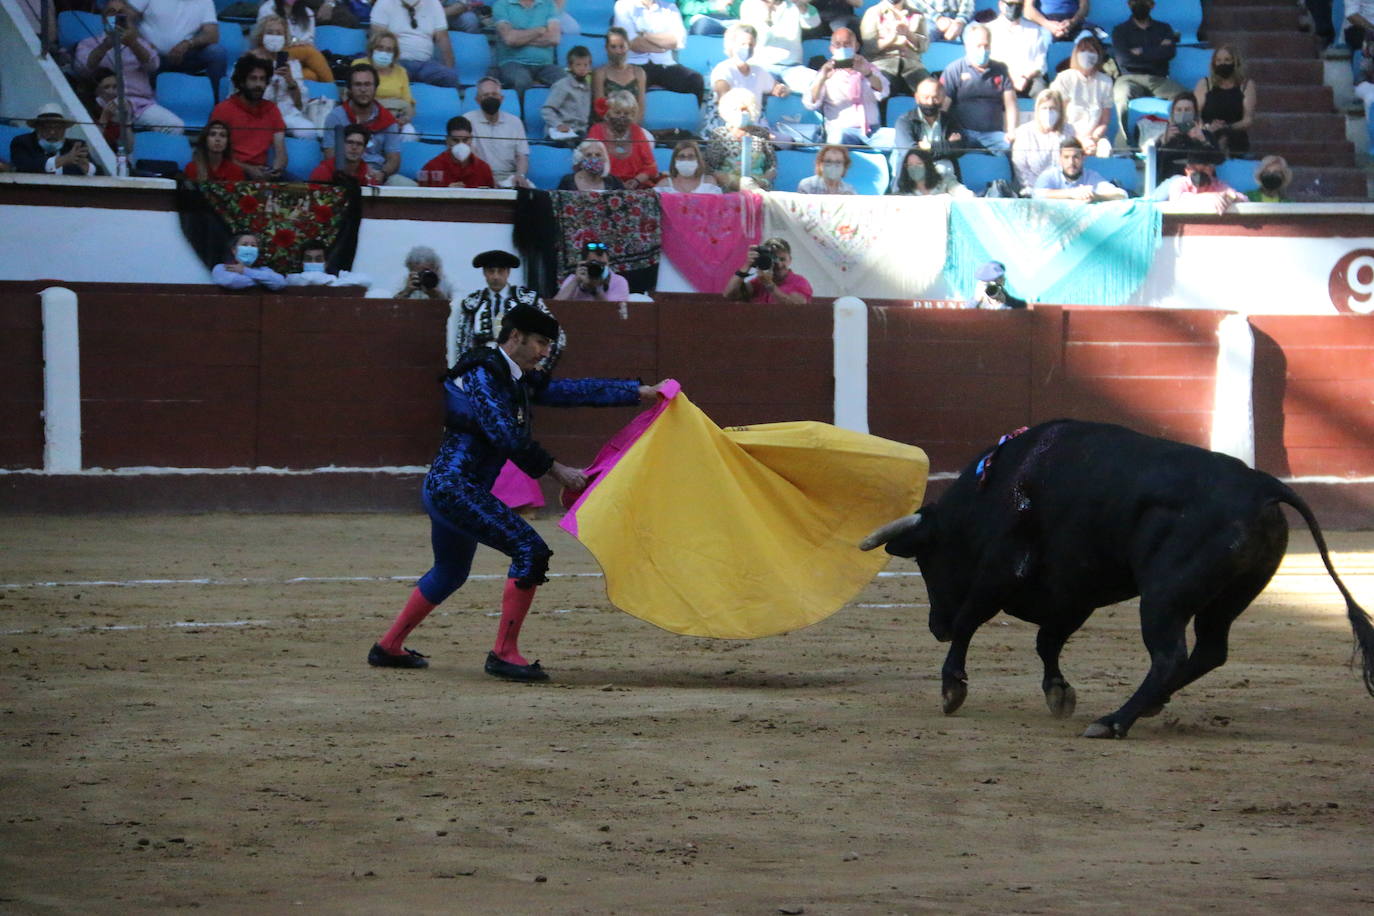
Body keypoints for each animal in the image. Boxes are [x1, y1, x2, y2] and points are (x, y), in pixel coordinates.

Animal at [857, 420, 1374, 736]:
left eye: (926, 560)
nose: (935, 627)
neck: (995, 486)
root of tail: (1261, 485)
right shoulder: (1073, 592)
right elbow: (1047, 641)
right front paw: (1058, 692)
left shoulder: (1002, 567)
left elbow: (973, 620)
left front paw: (952, 688)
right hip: (1227, 598)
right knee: (1210, 650)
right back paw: (1151, 704)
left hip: (1163, 597)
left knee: (1170, 655)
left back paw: (1115, 721)